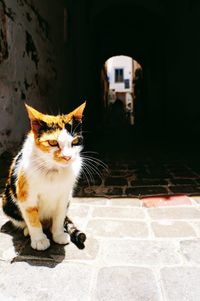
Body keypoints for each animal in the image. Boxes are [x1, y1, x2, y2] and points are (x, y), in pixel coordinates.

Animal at [1, 102, 86, 250]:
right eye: (53, 143)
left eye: (75, 141)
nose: (67, 157)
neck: (53, 171)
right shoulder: (26, 196)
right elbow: (32, 218)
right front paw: (39, 240)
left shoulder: (64, 196)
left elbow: (59, 216)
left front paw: (58, 234)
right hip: (7, 203)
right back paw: (28, 231)